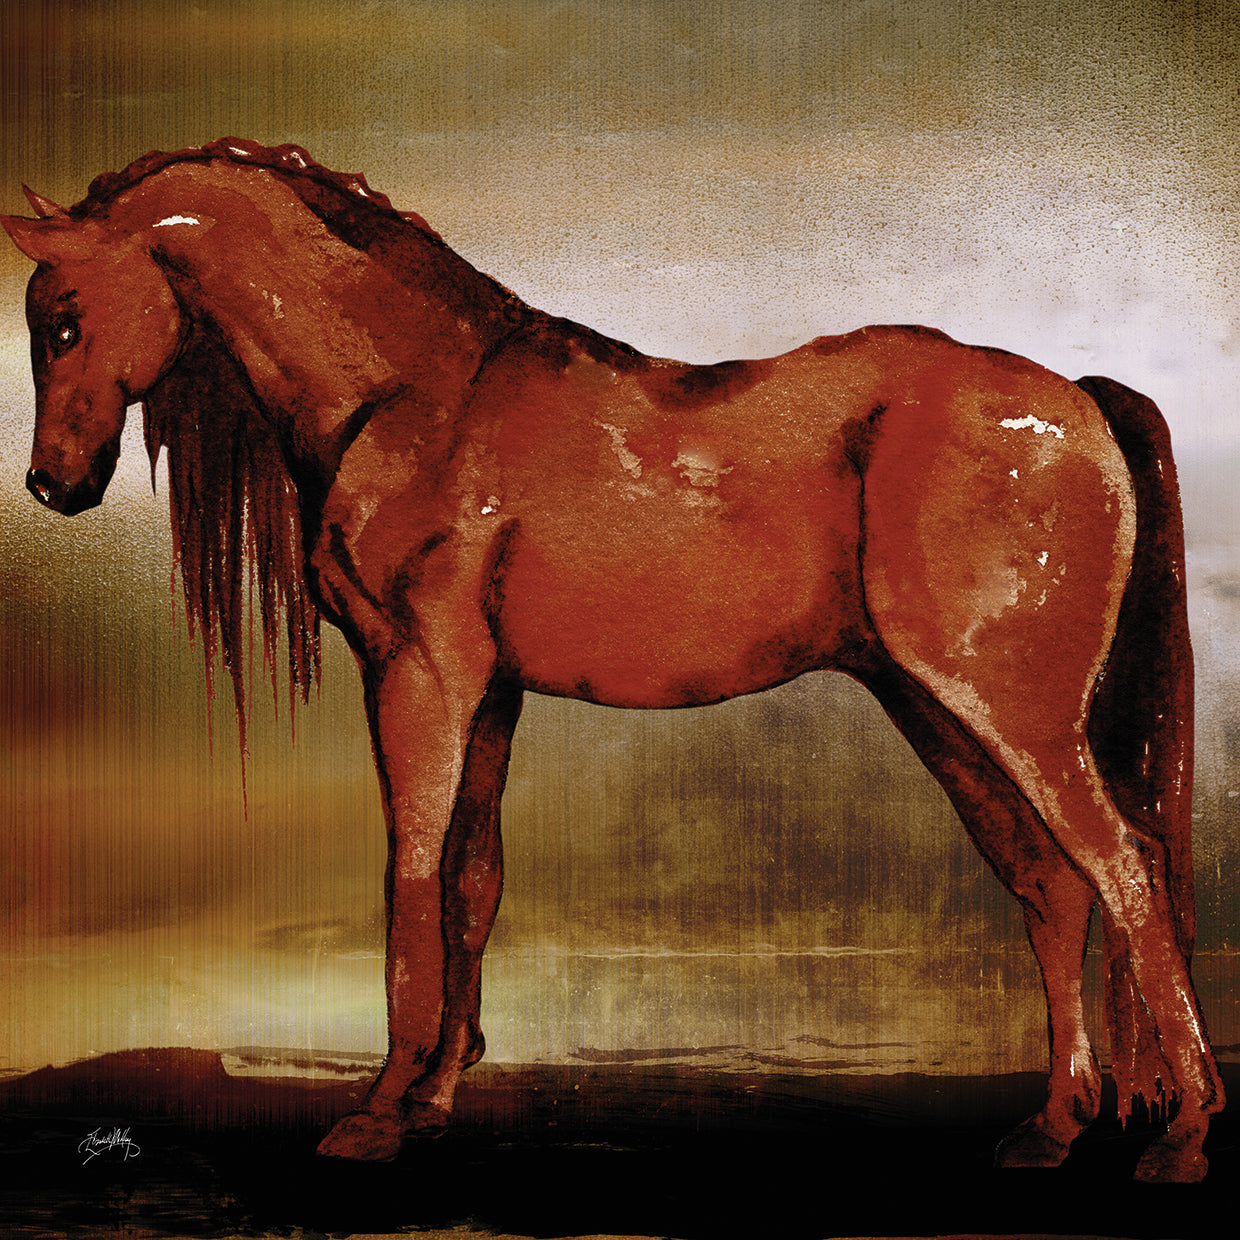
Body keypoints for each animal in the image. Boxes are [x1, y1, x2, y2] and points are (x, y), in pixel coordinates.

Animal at [2, 138, 1222, 1182]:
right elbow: (472, 883)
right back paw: (1051, 1127)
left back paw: (1184, 1133)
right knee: (1051, 884)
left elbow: (410, 875)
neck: (418, 396)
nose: (53, 484)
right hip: (935, 706)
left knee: (1126, 866)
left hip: (1009, 708)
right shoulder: (488, 693)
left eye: (61, 321)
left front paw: (378, 1112)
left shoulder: (417, 675)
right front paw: (434, 1097)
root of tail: (1077, 400)